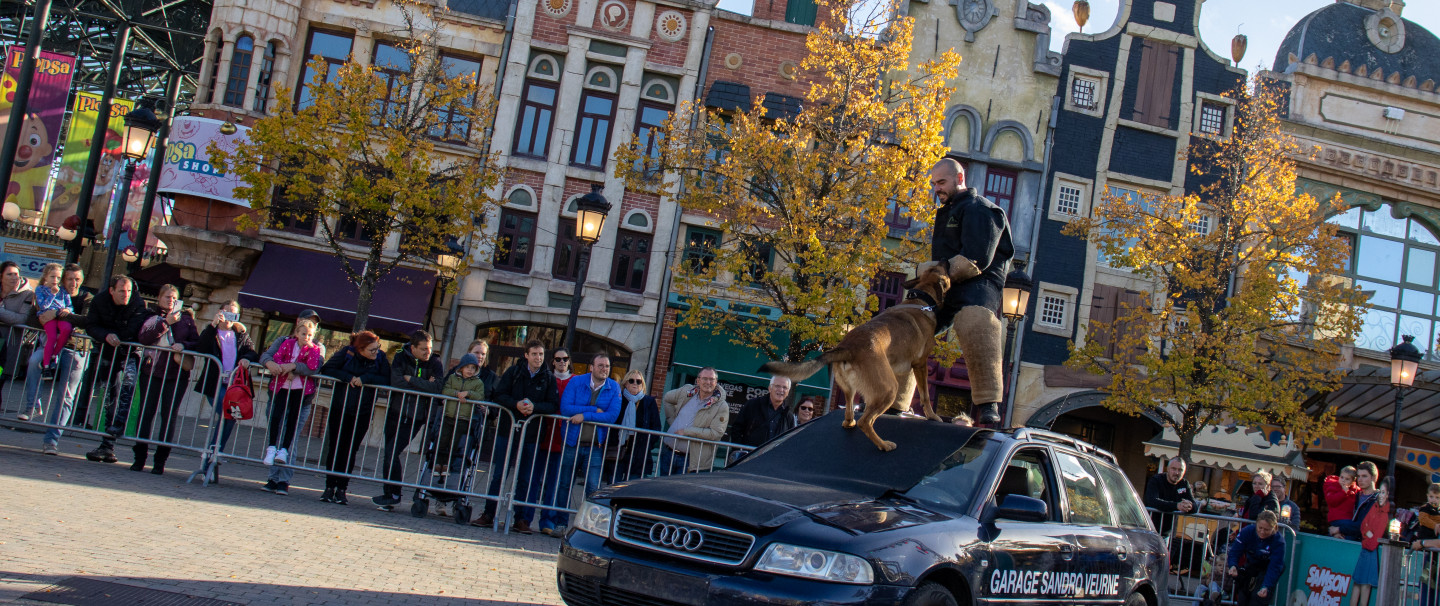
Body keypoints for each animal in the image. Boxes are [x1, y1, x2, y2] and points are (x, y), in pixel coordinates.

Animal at [760, 263, 950, 449]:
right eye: (943, 272)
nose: (944, 261)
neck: (921, 299)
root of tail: (848, 347)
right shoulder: (921, 364)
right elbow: (925, 395)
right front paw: (932, 416)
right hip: (888, 389)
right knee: (865, 421)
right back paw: (883, 445)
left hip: (849, 388)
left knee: (849, 412)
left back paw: (851, 424)